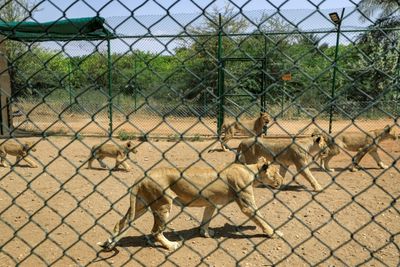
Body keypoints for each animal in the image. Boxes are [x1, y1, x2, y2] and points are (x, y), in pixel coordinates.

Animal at [97, 159, 284, 253]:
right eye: (276, 173)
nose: (282, 180)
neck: (251, 172)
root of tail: (142, 177)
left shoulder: (211, 202)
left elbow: (206, 219)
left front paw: (206, 233)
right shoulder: (247, 205)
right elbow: (262, 219)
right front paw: (274, 233)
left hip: (142, 205)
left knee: (120, 222)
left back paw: (109, 242)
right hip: (163, 205)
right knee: (155, 232)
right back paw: (171, 245)